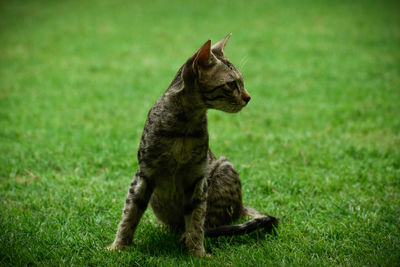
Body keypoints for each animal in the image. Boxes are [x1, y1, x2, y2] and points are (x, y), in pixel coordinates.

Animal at [108, 33, 280, 258]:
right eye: (231, 84)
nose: (248, 97)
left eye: (241, 82)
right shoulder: (145, 174)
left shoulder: (197, 177)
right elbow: (129, 214)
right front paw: (118, 246)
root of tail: (241, 204)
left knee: (214, 221)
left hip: (224, 169)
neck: (185, 123)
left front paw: (197, 253)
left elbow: (197, 221)